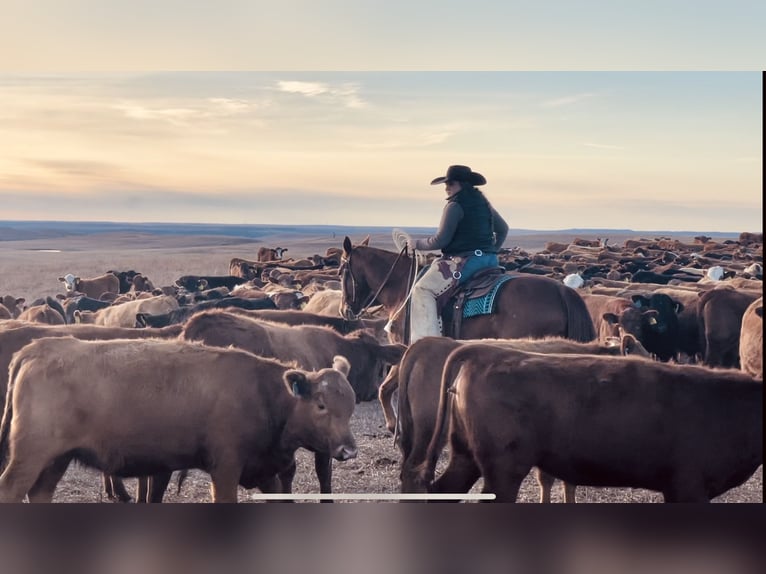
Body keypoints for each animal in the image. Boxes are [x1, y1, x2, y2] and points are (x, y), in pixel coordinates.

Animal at [0, 338, 356, 504]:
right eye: (321, 405)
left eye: (351, 406)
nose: (349, 450)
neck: (264, 393)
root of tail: (38, 349)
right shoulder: (225, 469)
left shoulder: (267, 472)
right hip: (31, 456)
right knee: (11, 490)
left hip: (56, 460)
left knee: (40, 492)